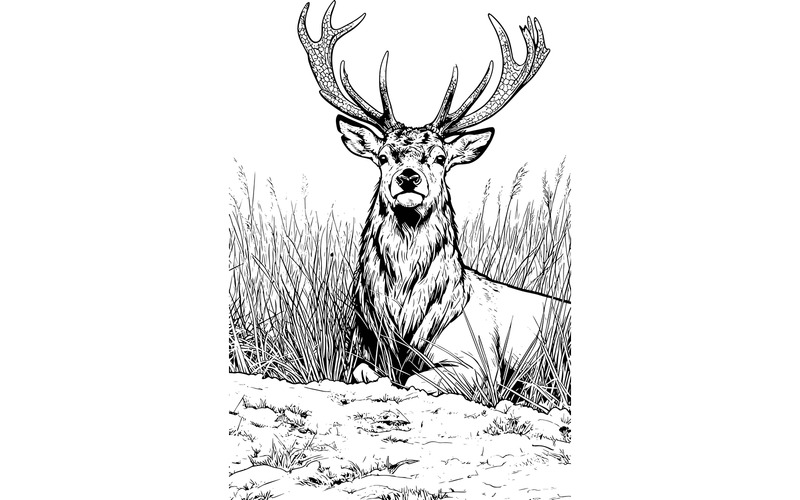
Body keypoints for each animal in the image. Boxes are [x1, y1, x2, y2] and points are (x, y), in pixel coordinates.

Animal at [298, 1, 566, 396]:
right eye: (383, 156)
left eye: (440, 158)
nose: (408, 177)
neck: (406, 320)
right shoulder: (364, 347)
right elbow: (361, 371)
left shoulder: (479, 361)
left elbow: (416, 380)